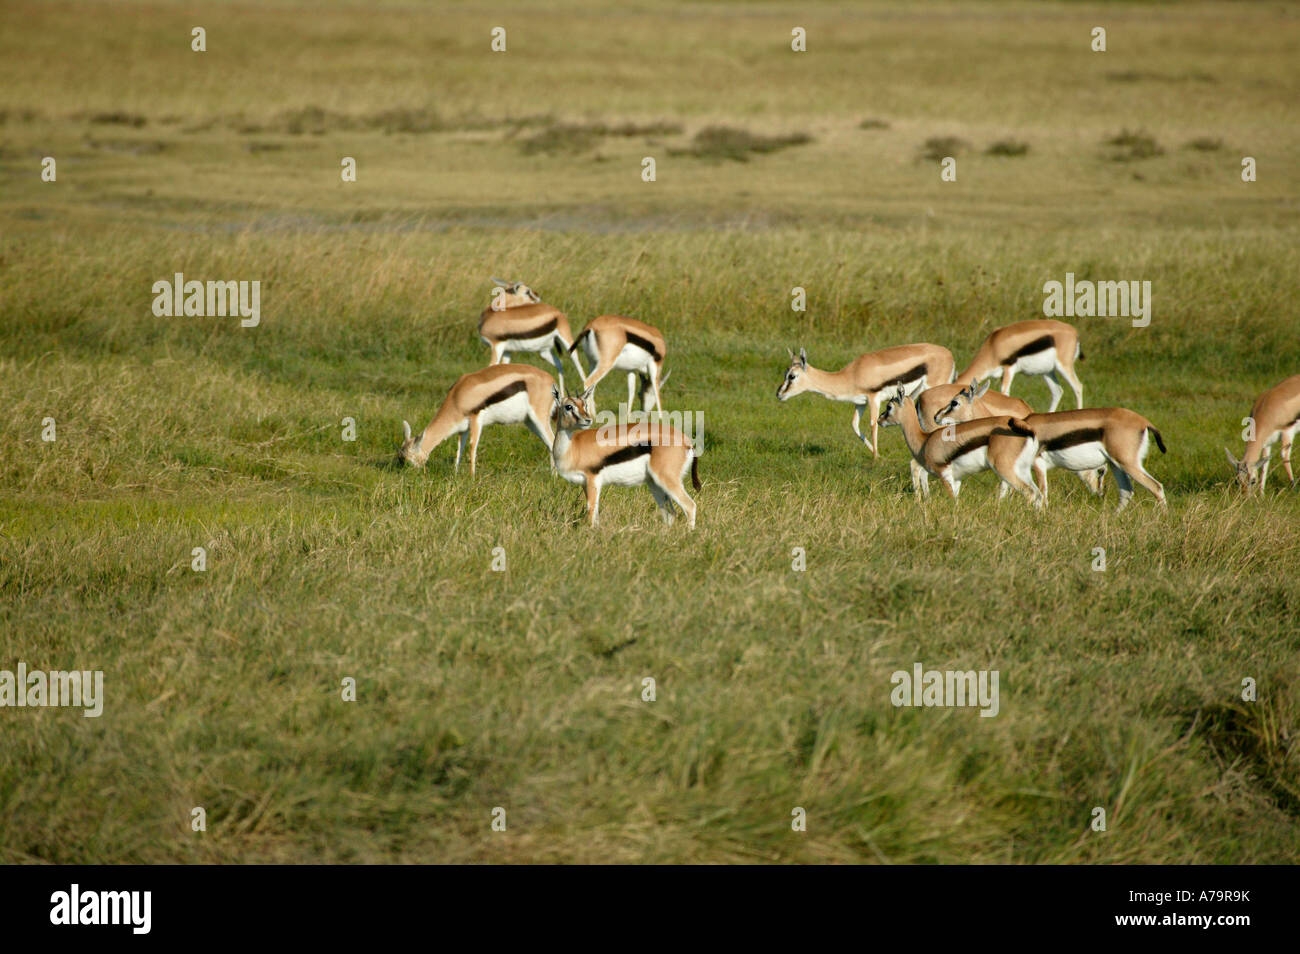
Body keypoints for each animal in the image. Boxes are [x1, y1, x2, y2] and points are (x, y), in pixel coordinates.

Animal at [398, 364, 556, 475]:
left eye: (407, 459)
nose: (407, 474)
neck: (457, 397)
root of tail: (551, 380)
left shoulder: (476, 420)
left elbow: (472, 449)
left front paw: (472, 477)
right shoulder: (463, 429)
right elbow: (459, 450)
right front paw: (455, 474)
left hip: (539, 418)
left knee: (552, 441)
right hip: (530, 422)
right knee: (549, 444)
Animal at [550, 385, 700, 528]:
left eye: (584, 404)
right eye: (568, 406)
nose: (587, 420)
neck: (573, 448)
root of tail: (687, 441)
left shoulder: (593, 479)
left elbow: (591, 511)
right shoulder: (584, 484)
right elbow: (595, 512)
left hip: (666, 479)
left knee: (690, 506)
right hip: (654, 484)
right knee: (670, 514)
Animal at [776, 344, 956, 457]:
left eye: (792, 376)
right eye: (785, 373)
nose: (779, 394)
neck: (852, 374)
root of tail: (949, 355)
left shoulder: (873, 398)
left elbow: (873, 424)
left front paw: (876, 457)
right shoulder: (860, 403)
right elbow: (854, 425)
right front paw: (876, 453)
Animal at [878, 387, 1043, 507]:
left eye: (889, 406)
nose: (879, 420)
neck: (924, 440)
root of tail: (1027, 430)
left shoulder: (944, 475)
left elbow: (953, 503)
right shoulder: (956, 479)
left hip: (1005, 469)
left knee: (1029, 492)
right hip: (1022, 470)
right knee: (1038, 494)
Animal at [955, 319, 1084, 412]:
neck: (993, 346)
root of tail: (1074, 332)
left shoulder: (1009, 369)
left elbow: (1004, 392)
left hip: (1064, 366)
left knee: (1078, 386)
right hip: (1047, 372)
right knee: (1057, 391)